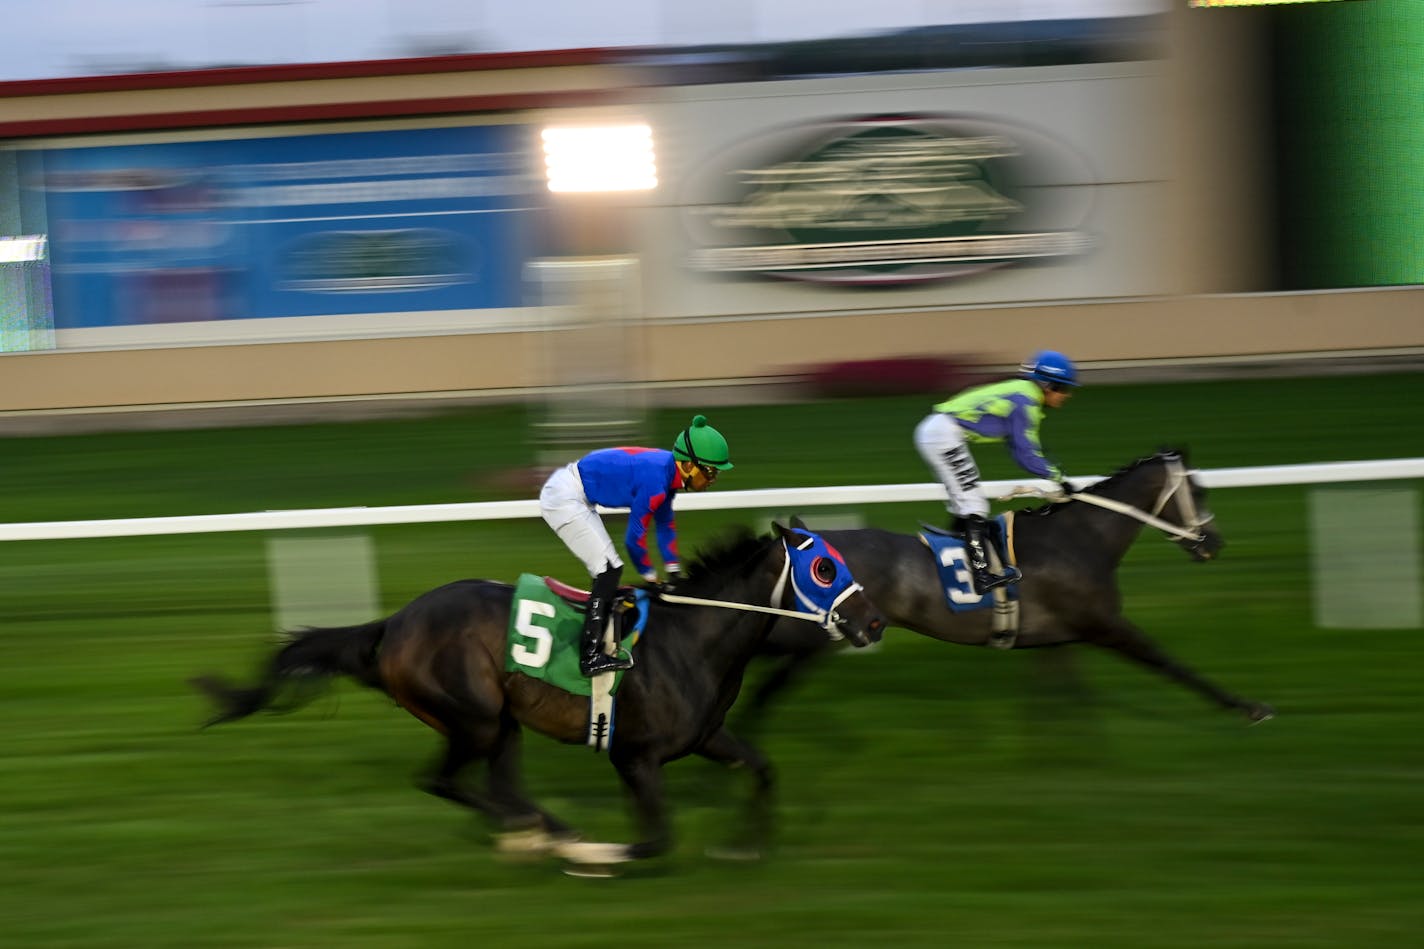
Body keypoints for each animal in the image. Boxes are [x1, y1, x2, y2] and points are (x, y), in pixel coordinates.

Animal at [189, 521, 877, 866]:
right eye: (825, 568)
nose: (872, 622)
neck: (692, 637)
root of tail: (394, 625)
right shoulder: (635, 756)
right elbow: (654, 838)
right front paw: (598, 851)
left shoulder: (707, 736)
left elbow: (762, 768)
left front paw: (745, 844)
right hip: (473, 717)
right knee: (446, 780)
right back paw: (546, 832)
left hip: (501, 723)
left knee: (496, 783)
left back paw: (539, 828)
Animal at [751, 450, 1275, 723]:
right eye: (1199, 491)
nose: (1214, 543)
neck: (1081, 538)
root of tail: (800, 541)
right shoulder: (1105, 625)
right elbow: (1172, 663)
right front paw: (1247, 706)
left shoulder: (1055, 639)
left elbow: (1058, 693)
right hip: (816, 634)